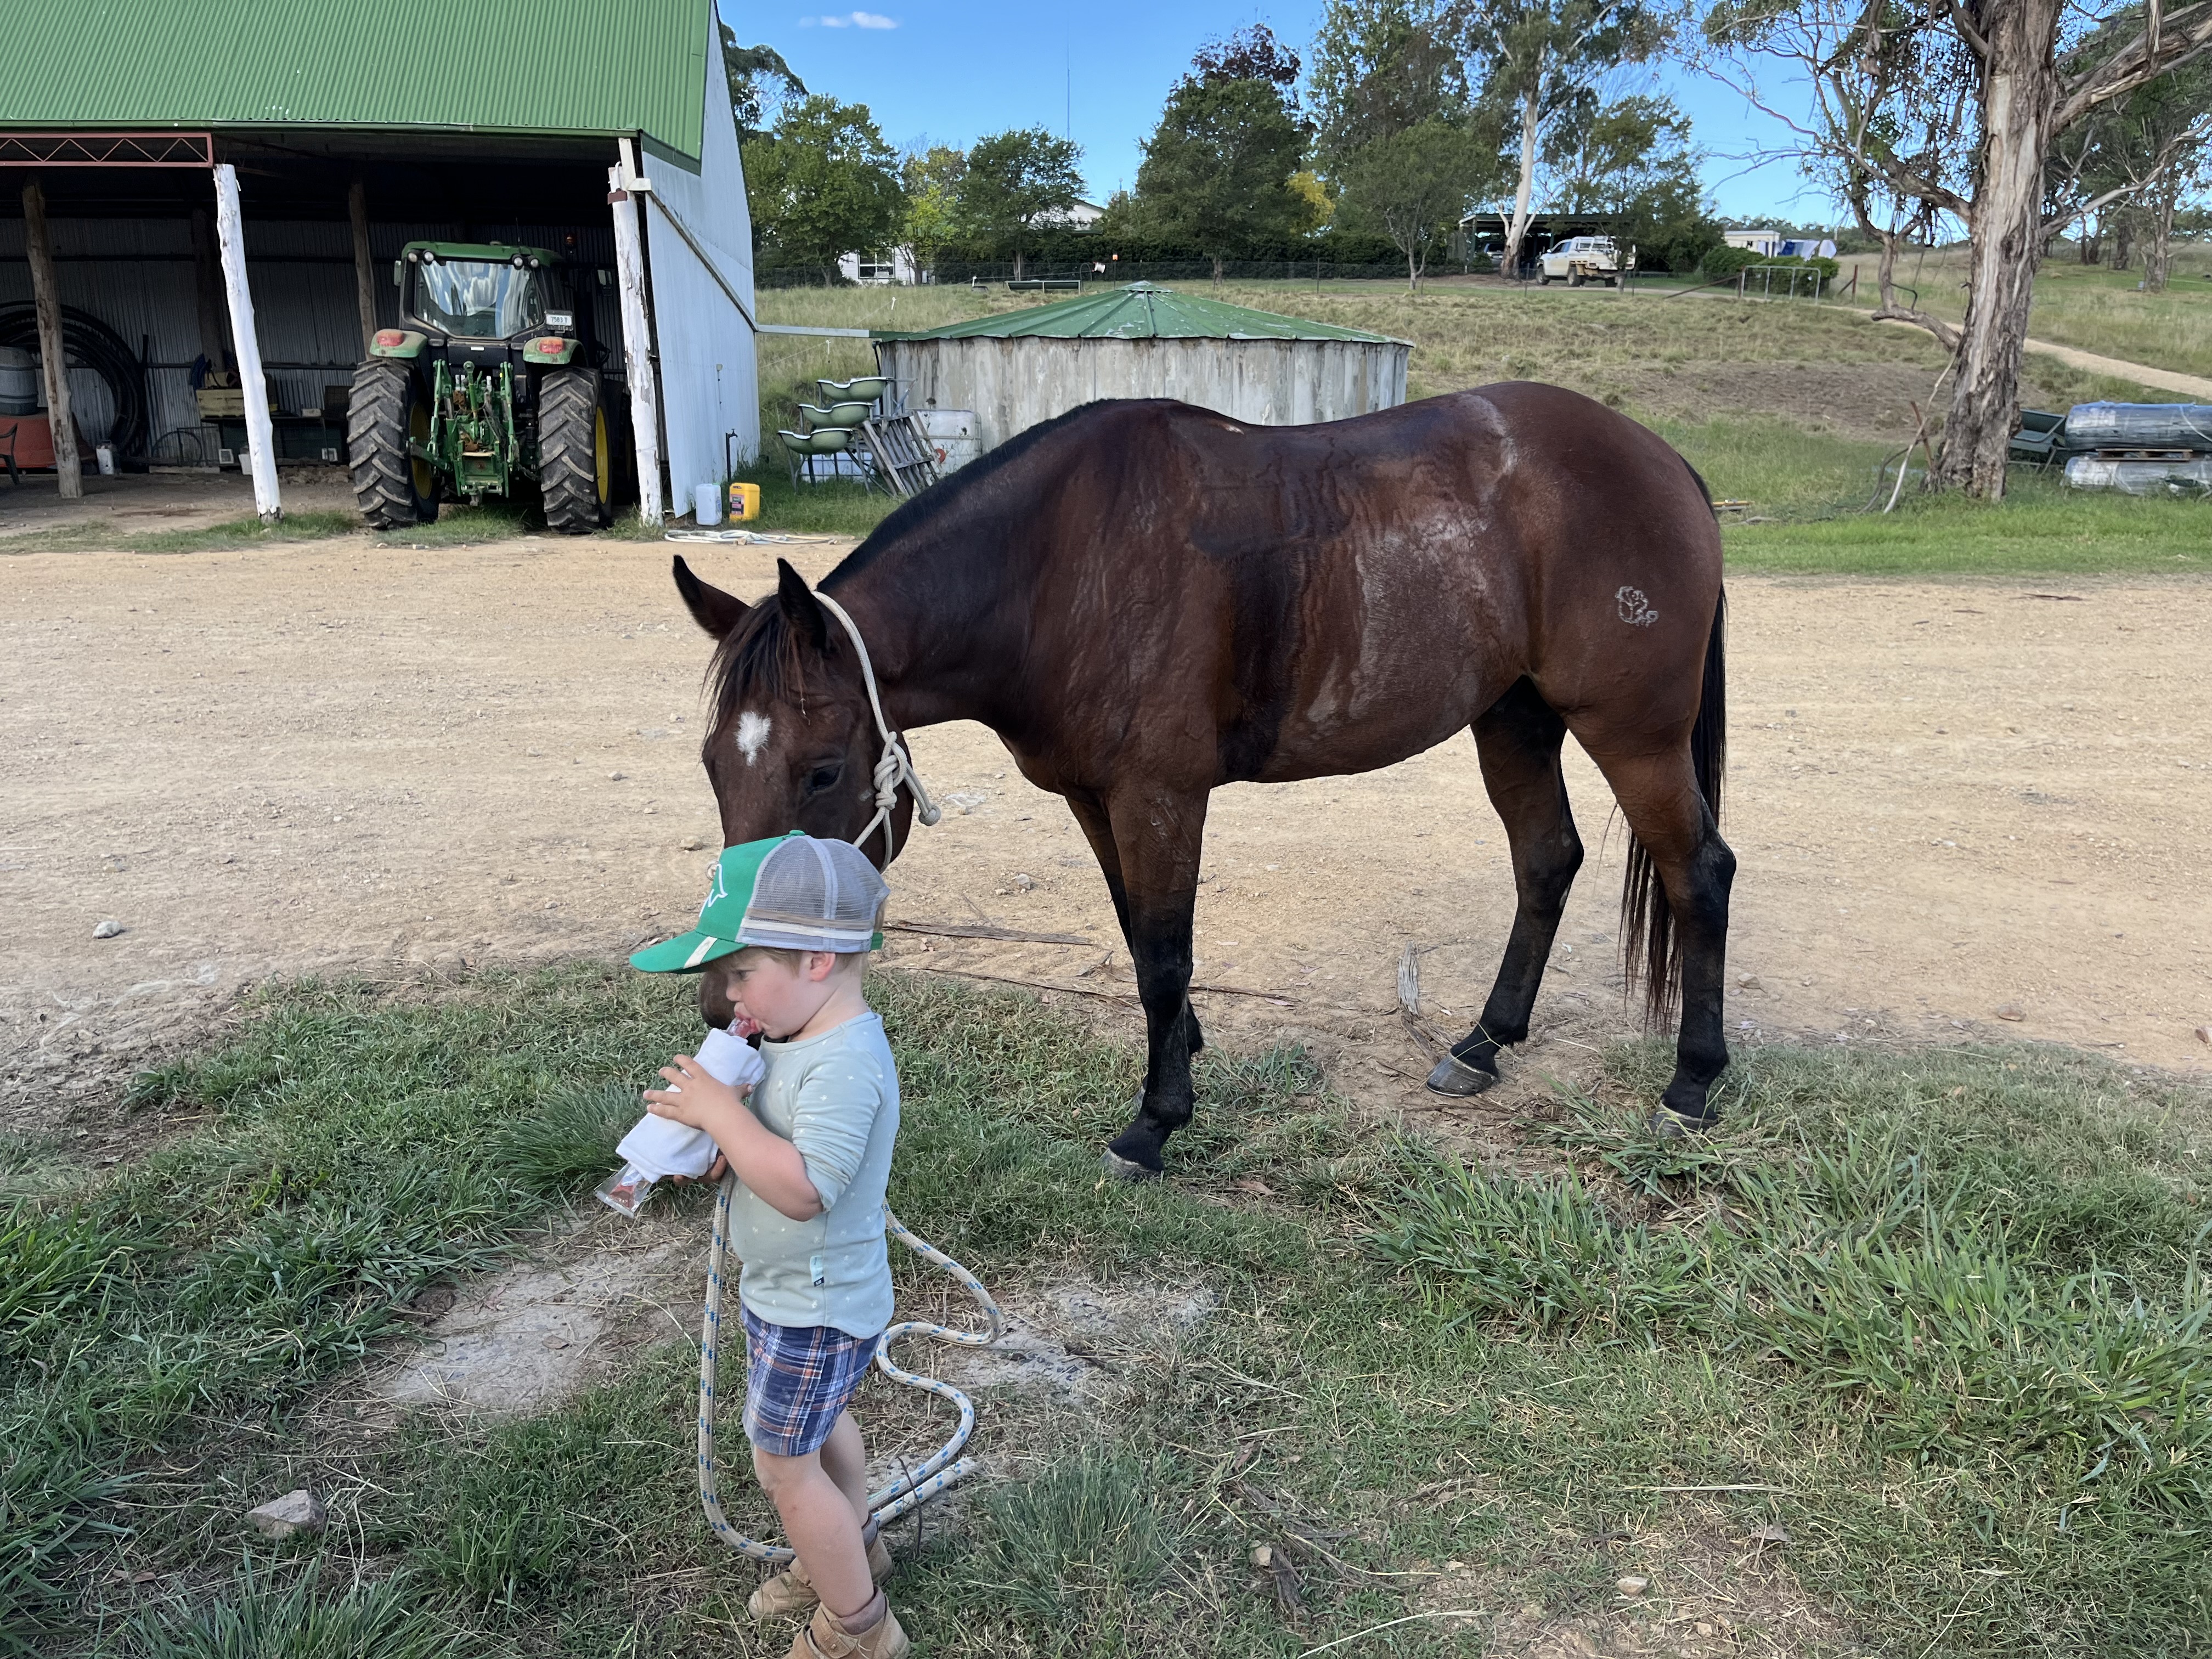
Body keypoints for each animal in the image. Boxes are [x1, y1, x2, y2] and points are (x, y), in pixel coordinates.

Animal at [671, 385, 1732, 1175]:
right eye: (715, 764)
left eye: (820, 770)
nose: (728, 1001)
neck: (1056, 567)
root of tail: (1661, 458)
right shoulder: (1095, 798)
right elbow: (1142, 937)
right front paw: (1180, 1057)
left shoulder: (1160, 796)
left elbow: (1165, 955)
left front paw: (1155, 1122)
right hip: (1512, 719)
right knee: (1548, 859)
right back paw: (1483, 1042)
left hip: (1632, 735)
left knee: (1699, 874)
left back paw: (1691, 1084)